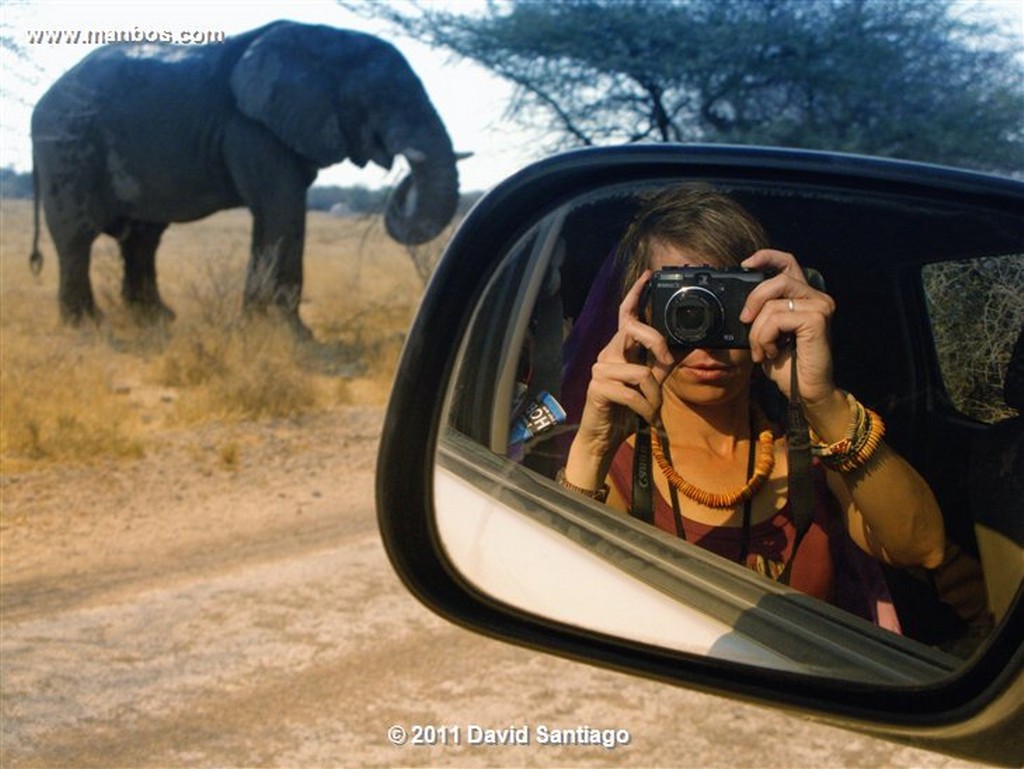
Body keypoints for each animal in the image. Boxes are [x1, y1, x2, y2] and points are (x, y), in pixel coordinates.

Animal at [28, 18, 462, 333]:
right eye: (387, 97)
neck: (326, 39)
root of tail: (42, 101)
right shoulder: (250, 127)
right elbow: (282, 209)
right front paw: (290, 335)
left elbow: (278, 215)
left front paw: (263, 328)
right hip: (66, 146)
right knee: (77, 237)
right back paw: (86, 326)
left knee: (142, 238)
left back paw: (156, 319)